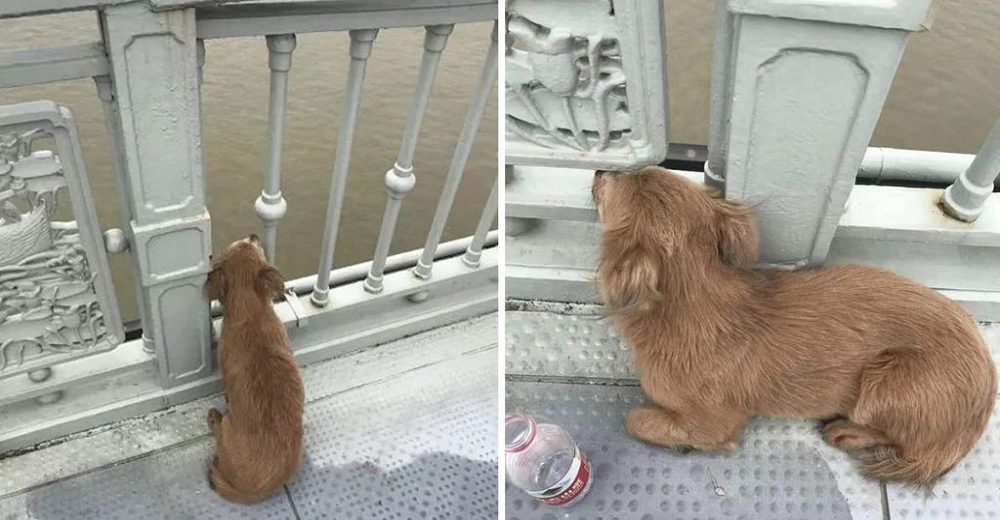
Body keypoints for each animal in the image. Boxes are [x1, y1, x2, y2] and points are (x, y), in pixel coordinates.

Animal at [204, 235, 304, 500]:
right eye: (256, 247)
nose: (253, 235)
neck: (249, 309)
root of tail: (255, 491)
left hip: (228, 430)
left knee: (219, 430)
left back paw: (214, 417)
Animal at [592, 167, 992, 488]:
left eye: (613, 184)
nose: (599, 171)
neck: (697, 300)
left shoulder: (713, 423)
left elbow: (634, 418)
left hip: (887, 382)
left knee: (902, 443)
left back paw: (846, 431)